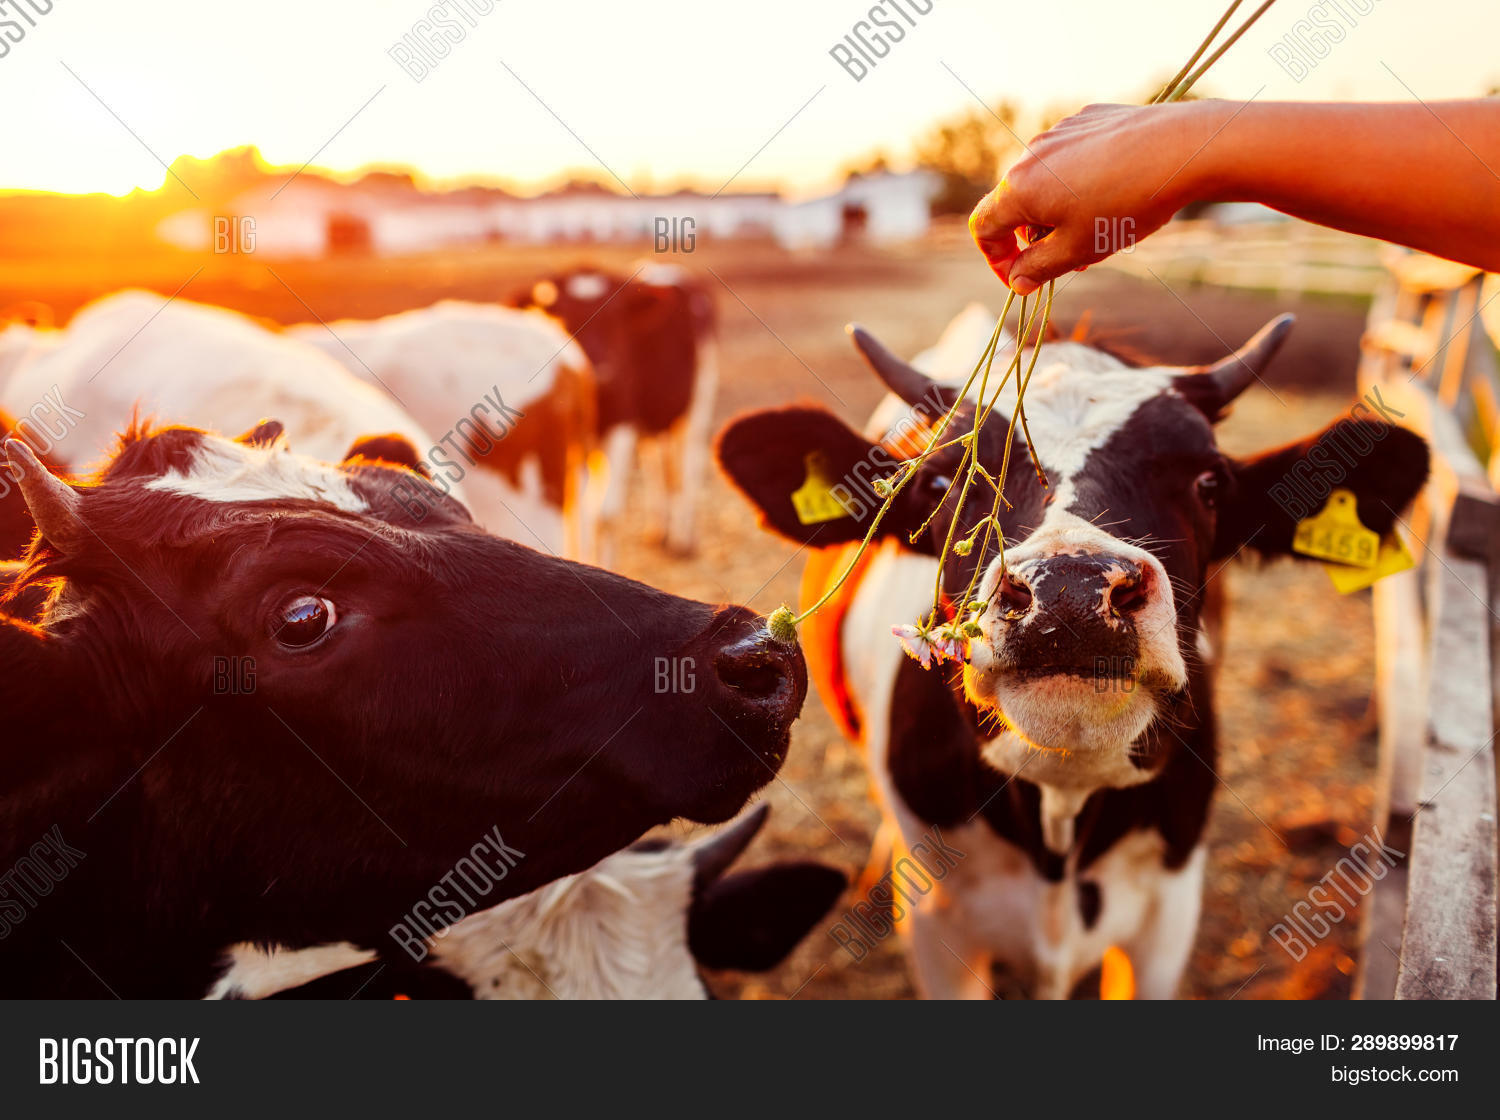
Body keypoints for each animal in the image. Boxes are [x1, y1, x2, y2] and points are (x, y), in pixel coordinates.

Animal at [510, 263, 717, 561]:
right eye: (562, 318)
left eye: (614, 319)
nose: (597, 364)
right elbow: (578, 514)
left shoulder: (622, 425)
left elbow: (604, 516)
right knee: (659, 467)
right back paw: (660, 531)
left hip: (699, 400)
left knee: (689, 467)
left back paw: (684, 540)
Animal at [716, 308, 1429, 998]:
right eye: (940, 483)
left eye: (1209, 482)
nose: (1071, 590)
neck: (1061, 812)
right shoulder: (939, 928)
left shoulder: (1167, 918)